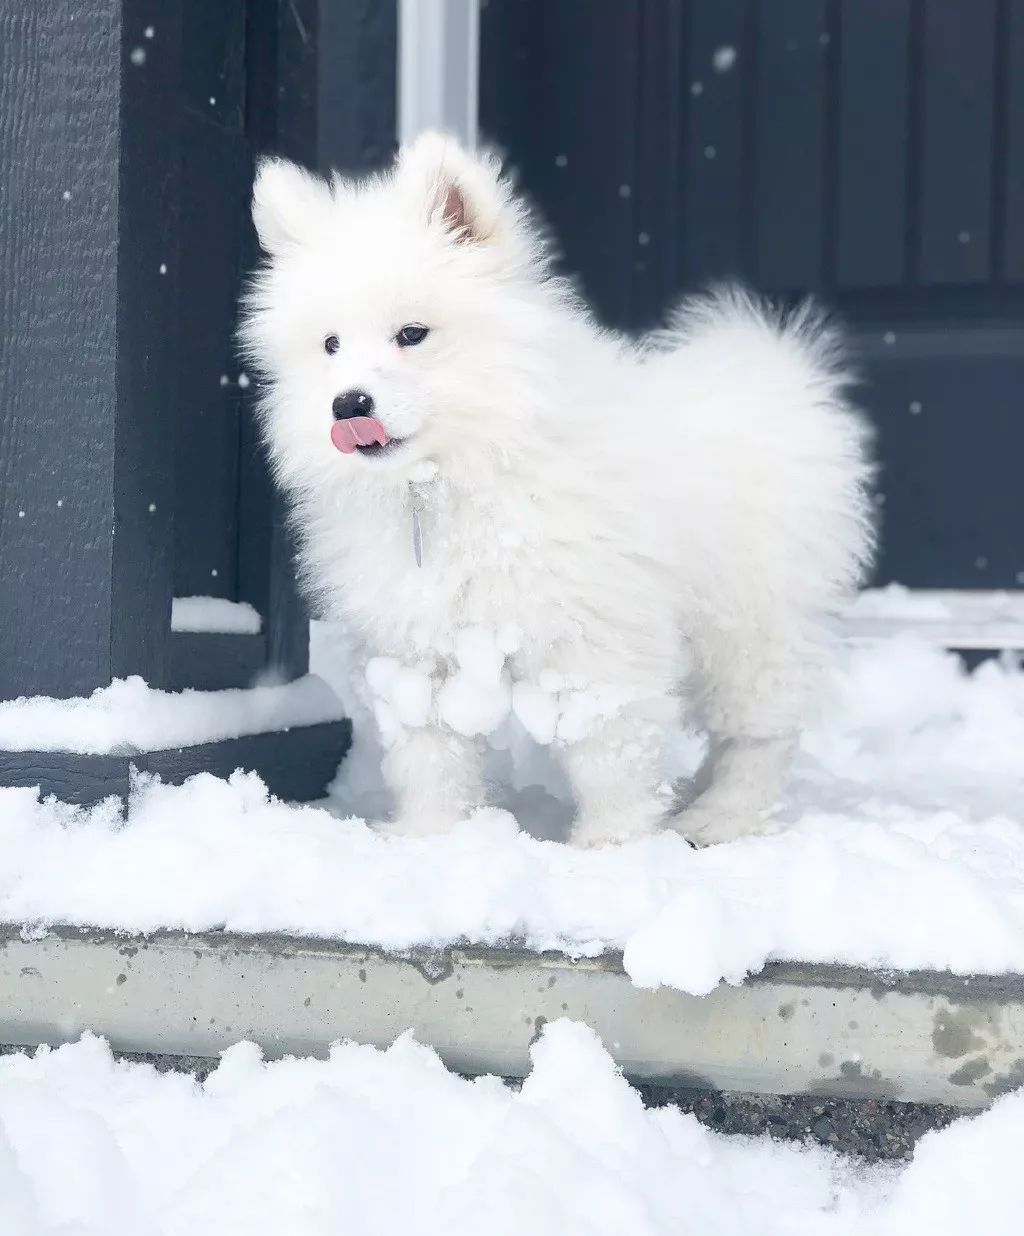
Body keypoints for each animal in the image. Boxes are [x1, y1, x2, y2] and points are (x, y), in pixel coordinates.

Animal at [239, 135, 870, 850]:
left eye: (412, 334)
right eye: (330, 346)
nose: (348, 405)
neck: (453, 479)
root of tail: (772, 374)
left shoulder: (594, 637)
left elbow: (607, 750)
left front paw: (612, 841)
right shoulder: (416, 649)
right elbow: (430, 756)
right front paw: (432, 836)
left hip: (748, 622)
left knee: (760, 733)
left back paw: (721, 816)